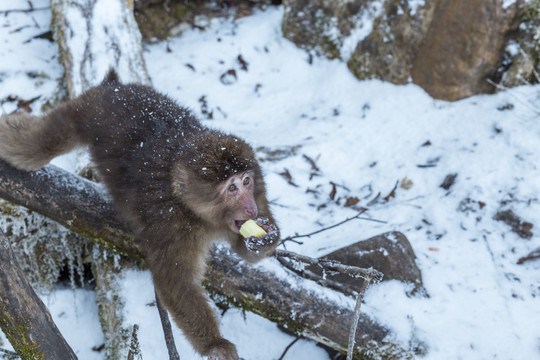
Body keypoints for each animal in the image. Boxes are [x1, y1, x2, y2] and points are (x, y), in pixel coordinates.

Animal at [0, 71, 280, 360]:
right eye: (231, 188)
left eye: (246, 181)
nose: (250, 209)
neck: (197, 212)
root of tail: (117, 88)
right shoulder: (172, 225)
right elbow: (175, 283)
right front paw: (216, 344)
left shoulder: (257, 195)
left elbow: (242, 250)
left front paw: (265, 238)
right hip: (87, 110)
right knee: (36, 147)